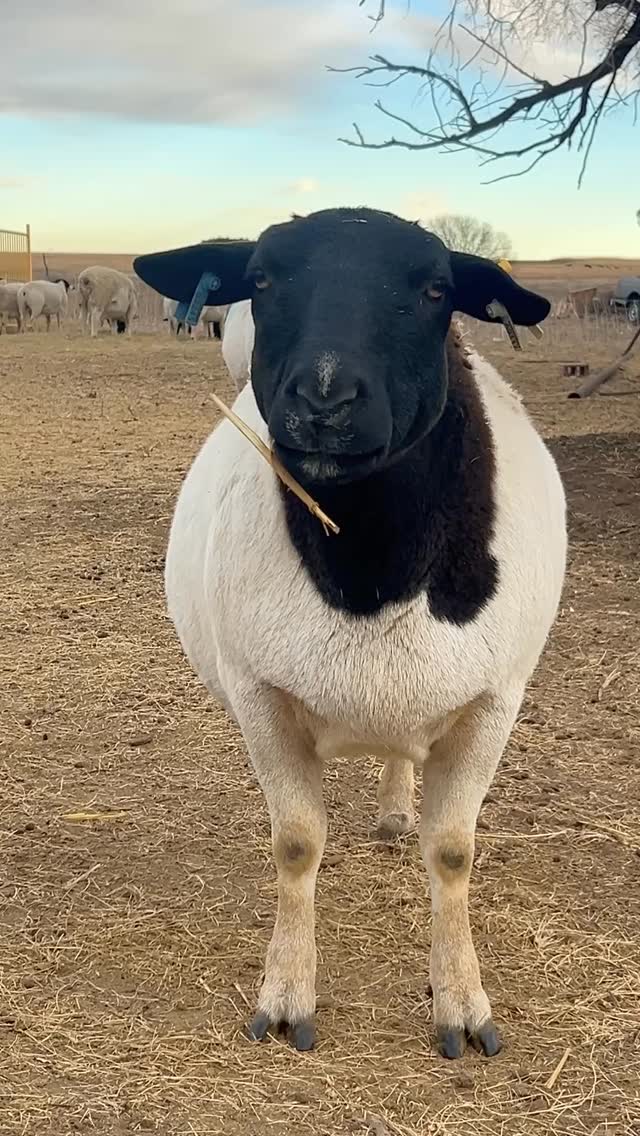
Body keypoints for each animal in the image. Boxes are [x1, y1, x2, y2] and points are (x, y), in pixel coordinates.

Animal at [133, 207, 567, 1059]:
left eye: (436, 290)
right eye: (261, 279)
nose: (325, 399)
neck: (373, 571)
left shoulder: (494, 702)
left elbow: (453, 852)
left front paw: (463, 1006)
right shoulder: (261, 696)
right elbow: (297, 844)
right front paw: (286, 997)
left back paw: (399, 810)